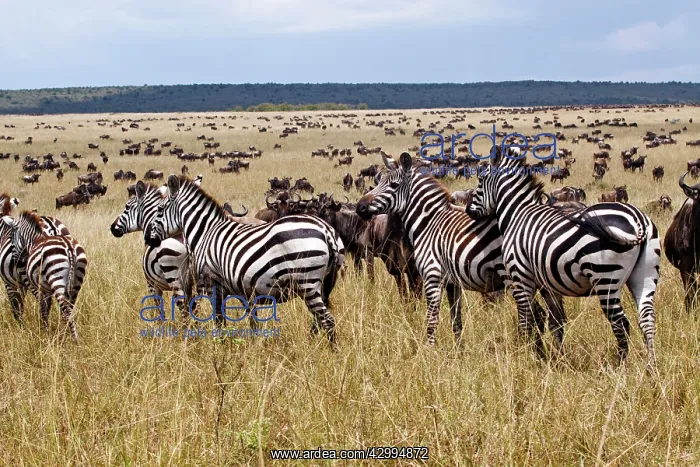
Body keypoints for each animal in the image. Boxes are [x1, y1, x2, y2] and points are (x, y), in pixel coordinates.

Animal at [3, 211, 88, 340]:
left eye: (11, 238)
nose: (15, 261)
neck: (34, 240)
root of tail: (69, 247)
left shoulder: (36, 285)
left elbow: (41, 308)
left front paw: (45, 331)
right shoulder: (46, 288)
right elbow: (46, 307)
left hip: (56, 279)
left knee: (66, 311)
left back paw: (73, 340)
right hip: (76, 282)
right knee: (69, 309)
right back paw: (65, 334)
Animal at [143, 175, 344, 341]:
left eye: (159, 209)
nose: (147, 239)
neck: (205, 232)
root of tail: (327, 230)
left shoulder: (214, 284)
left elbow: (219, 321)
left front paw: (221, 350)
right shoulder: (241, 288)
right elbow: (250, 321)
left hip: (307, 282)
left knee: (327, 320)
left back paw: (331, 352)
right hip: (325, 284)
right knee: (319, 319)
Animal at [356, 152, 506, 346]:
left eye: (394, 185)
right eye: (378, 181)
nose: (360, 207)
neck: (430, 222)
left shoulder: (431, 276)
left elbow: (431, 320)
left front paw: (429, 350)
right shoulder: (452, 282)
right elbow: (456, 320)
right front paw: (459, 350)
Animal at [466, 148, 659, 368]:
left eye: (480, 179)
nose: (469, 211)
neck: (518, 214)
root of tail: (639, 221)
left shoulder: (520, 276)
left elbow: (526, 319)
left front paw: (526, 356)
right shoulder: (549, 285)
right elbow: (556, 323)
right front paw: (558, 359)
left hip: (605, 278)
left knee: (621, 323)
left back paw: (619, 365)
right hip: (644, 276)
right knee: (647, 320)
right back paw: (651, 367)